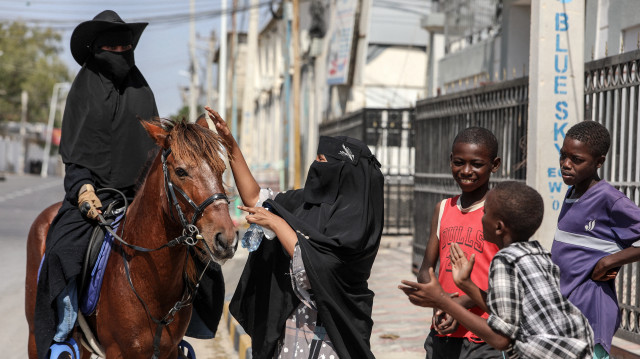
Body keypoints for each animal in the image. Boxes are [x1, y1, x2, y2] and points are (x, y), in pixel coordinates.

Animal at [24, 116, 240, 358]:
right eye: (181, 171)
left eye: (221, 169)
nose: (226, 239)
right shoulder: (118, 351)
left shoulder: (170, 351)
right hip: (35, 337)